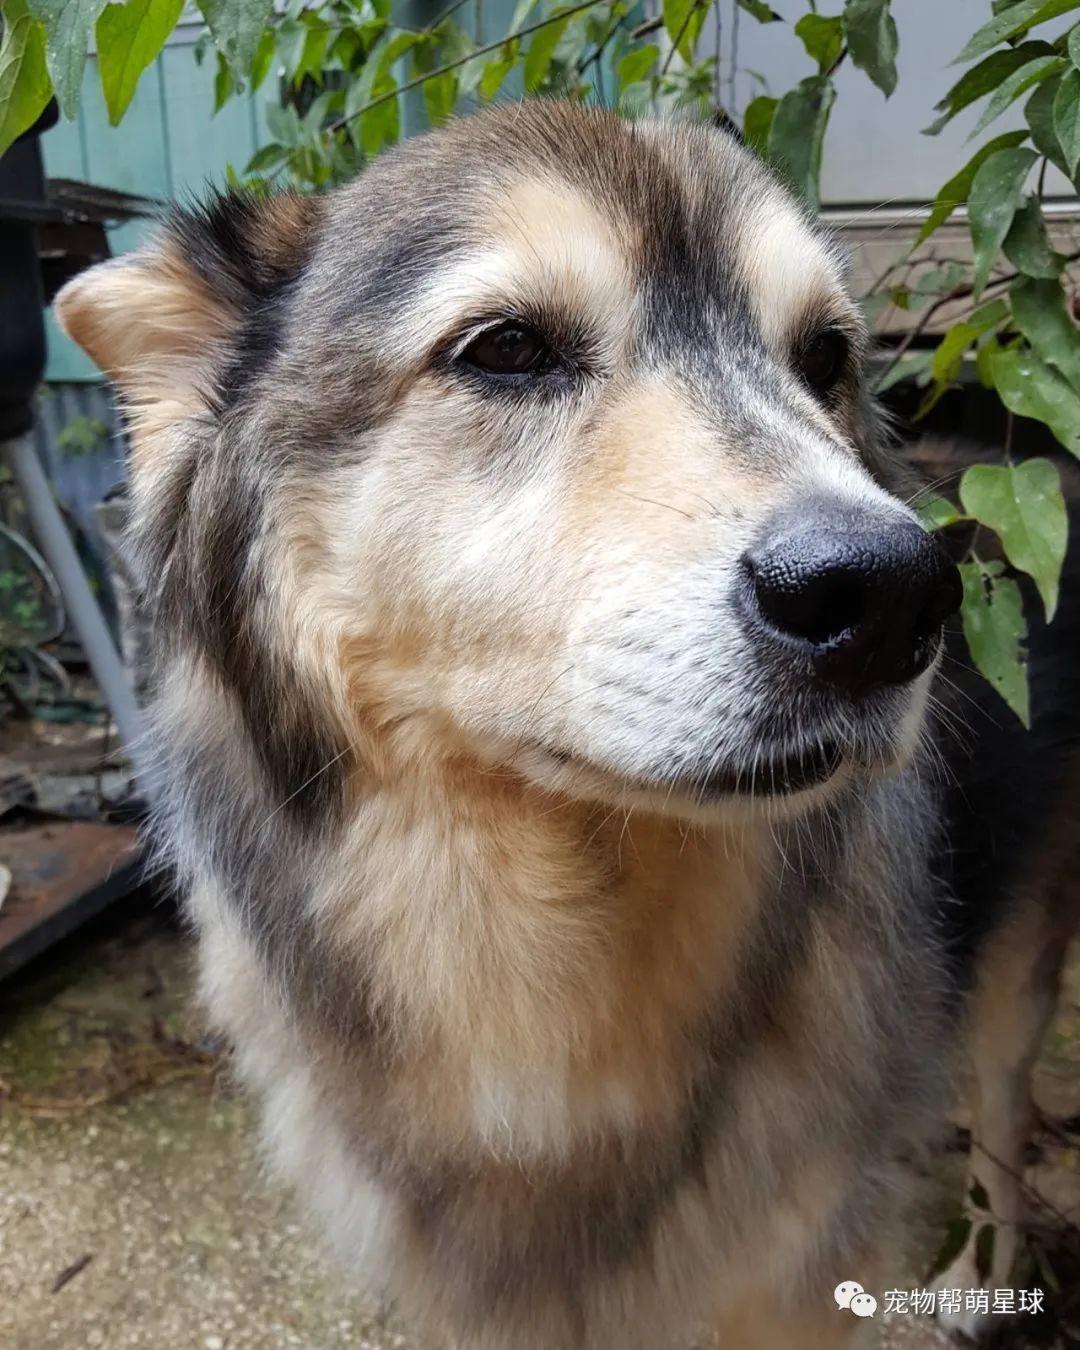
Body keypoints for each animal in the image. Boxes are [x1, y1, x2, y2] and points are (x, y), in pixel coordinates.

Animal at [54, 99, 1069, 1344]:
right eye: (506, 350)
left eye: (824, 358)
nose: (893, 598)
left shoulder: (789, 1274)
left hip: (1013, 986)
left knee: (1004, 1128)